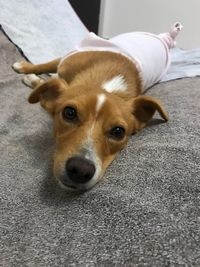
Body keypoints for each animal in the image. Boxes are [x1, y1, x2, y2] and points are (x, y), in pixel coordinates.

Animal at [12, 22, 181, 191]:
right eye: (69, 113)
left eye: (118, 131)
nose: (80, 169)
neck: (106, 84)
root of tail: (165, 38)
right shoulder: (69, 58)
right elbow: (46, 66)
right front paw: (27, 71)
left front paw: (34, 80)